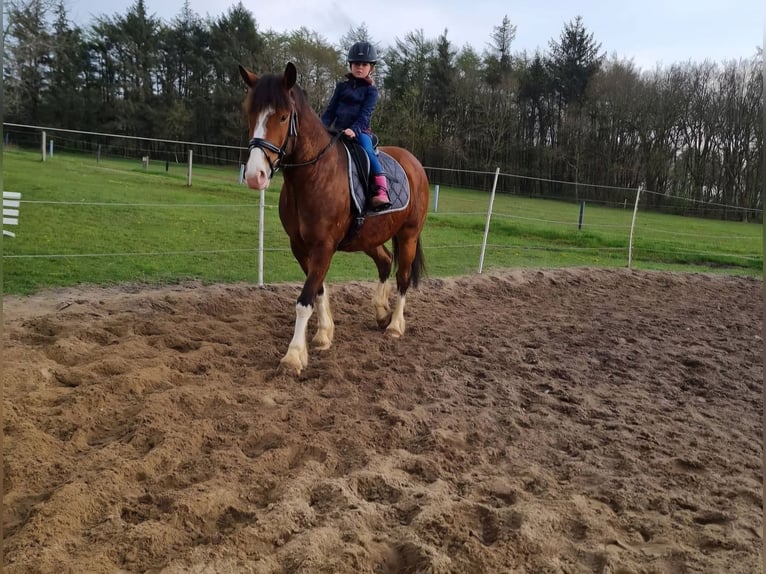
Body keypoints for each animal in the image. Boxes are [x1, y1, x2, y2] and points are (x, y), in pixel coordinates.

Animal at [238, 63, 428, 376]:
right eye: (250, 113)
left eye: (283, 116)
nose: (256, 176)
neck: (313, 176)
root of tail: (414, 163)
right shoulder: (300, 247)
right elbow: (318, 290)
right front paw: (323, 335)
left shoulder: (323, 246)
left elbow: (305, 300)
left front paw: (293, 356)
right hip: (370, 238)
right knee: (385, 261)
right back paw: (381, 313)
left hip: (408, 235)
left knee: (402, 277)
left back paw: (395, 326)